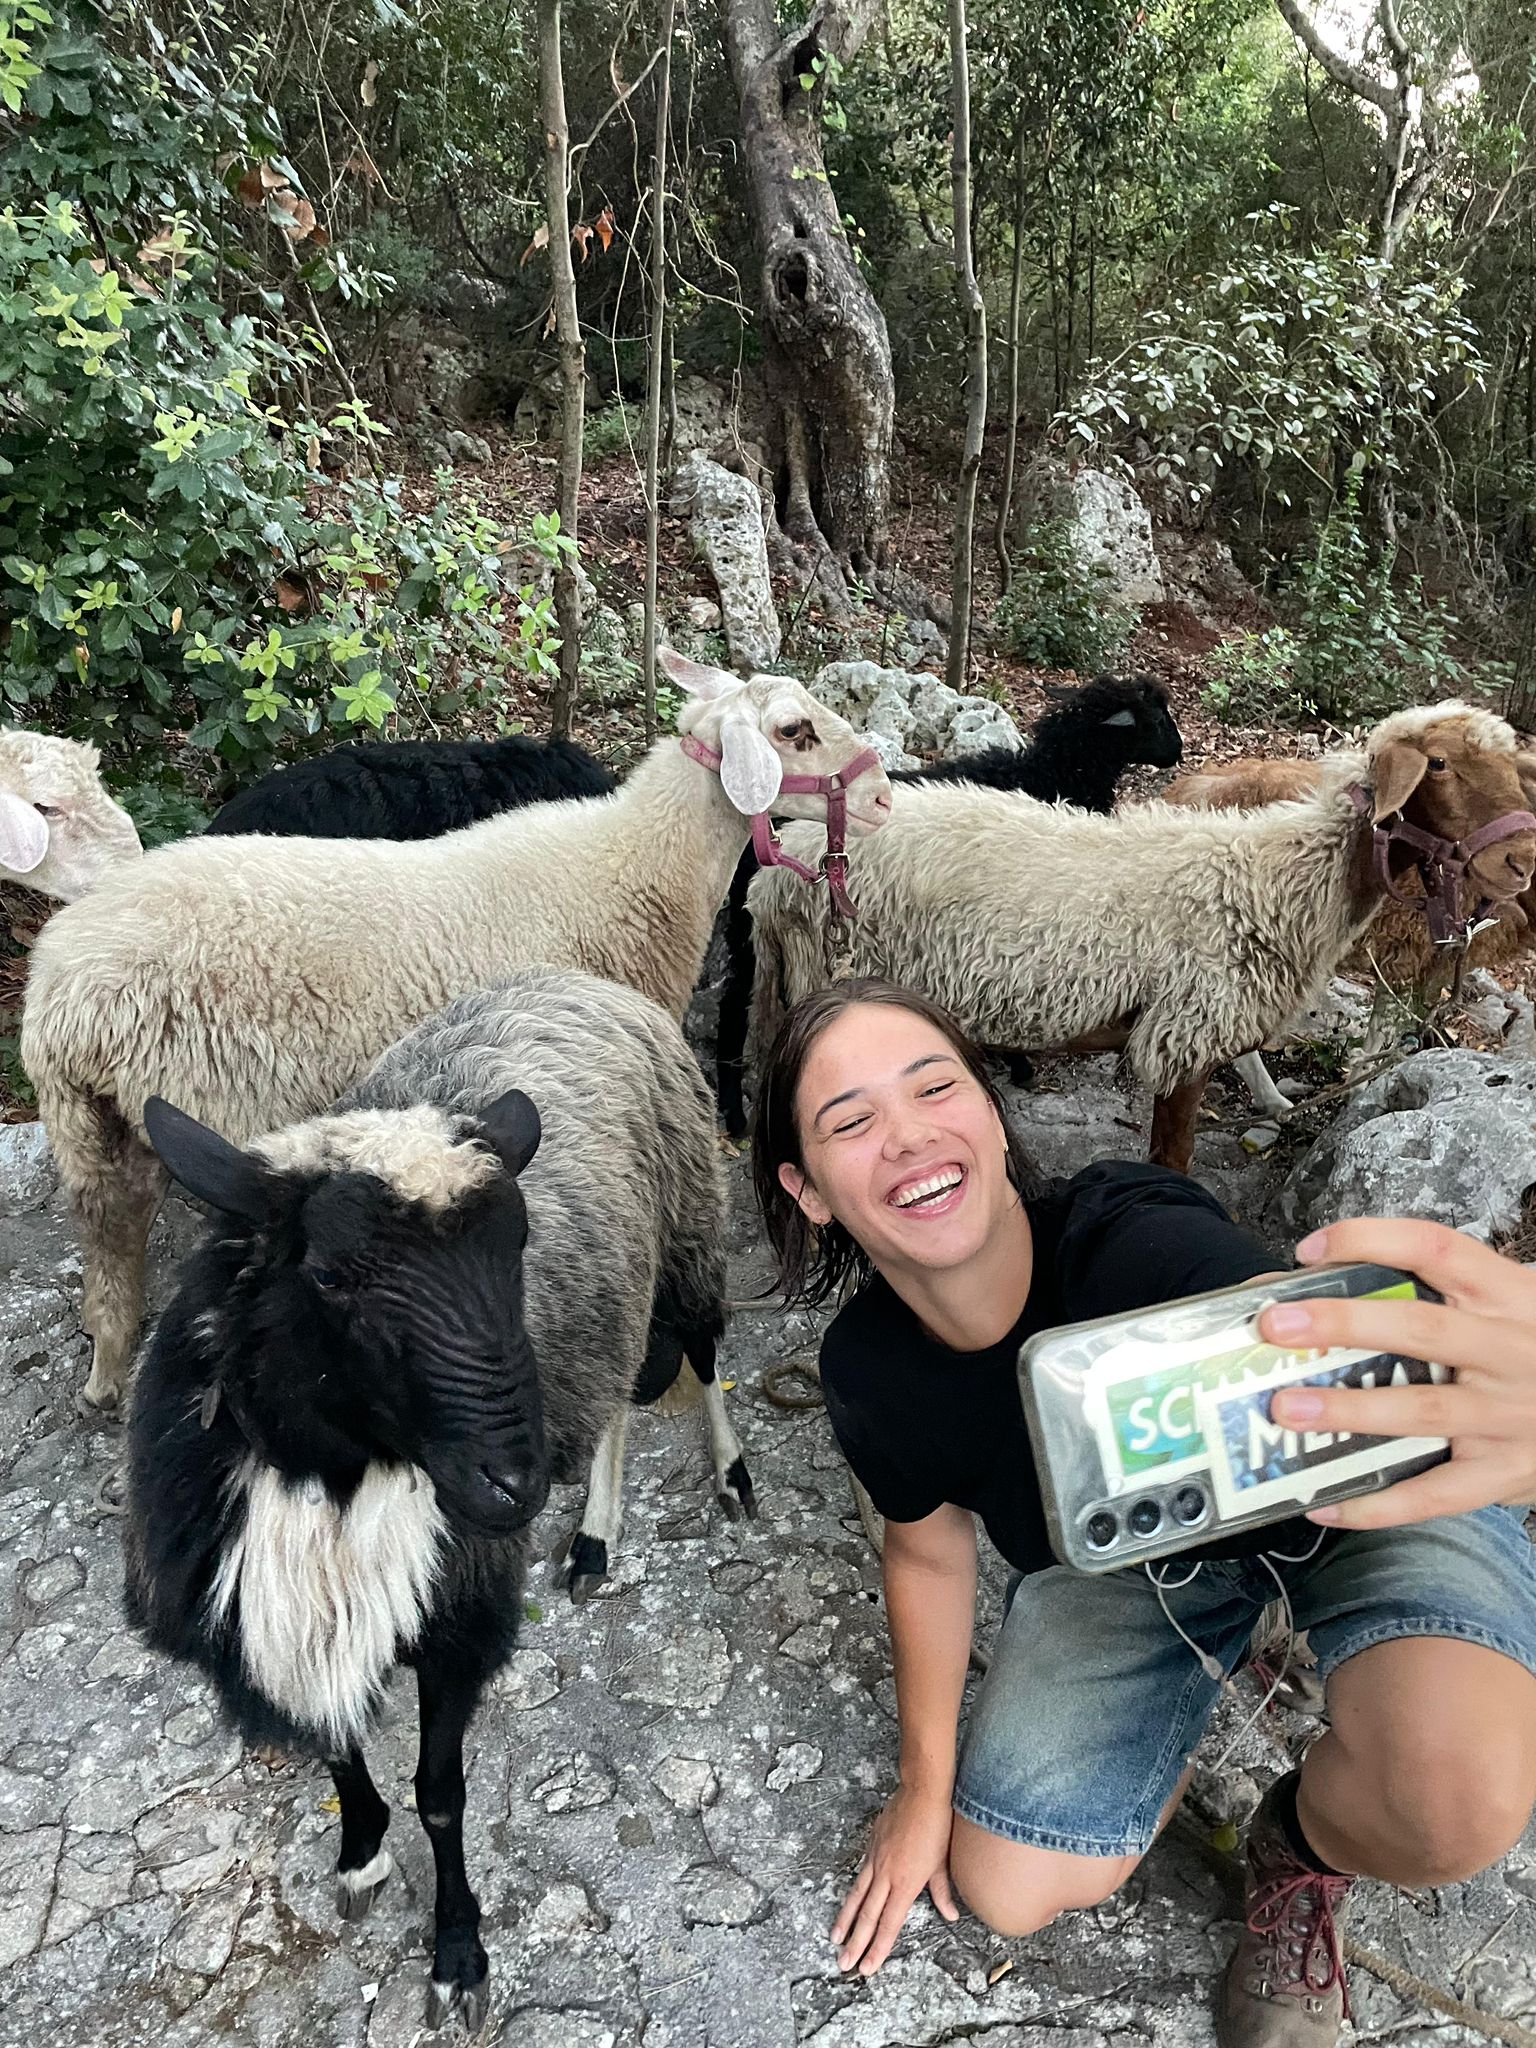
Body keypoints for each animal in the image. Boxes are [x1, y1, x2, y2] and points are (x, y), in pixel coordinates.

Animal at [125, 968, 741, 2031]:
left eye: (517, 1248)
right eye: (329, 1277)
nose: (514, 1485)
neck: (340, 1482)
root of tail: (571, 977)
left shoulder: (459, 1611)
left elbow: (441, 1793)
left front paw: (458, 1954)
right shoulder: (296, 1619)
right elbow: (337, 1748)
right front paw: (361, 1855)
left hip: (689, 1222)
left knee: (698, 1351)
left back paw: (720, 1474)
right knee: (613, 1392)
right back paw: (591, 1534)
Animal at [712, 672, 1184, 1135]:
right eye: (1157, 720)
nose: (1178, 753)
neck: (1053, 773)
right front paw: (1018, 1063)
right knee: (735, 1009)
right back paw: (734, 1115)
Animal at [745, 702, 1536, 1173]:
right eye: (1439, 764)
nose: (1521, 860)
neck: (1282, 875)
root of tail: (783, 870)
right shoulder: (1185, 1035)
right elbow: (1172, 1159)